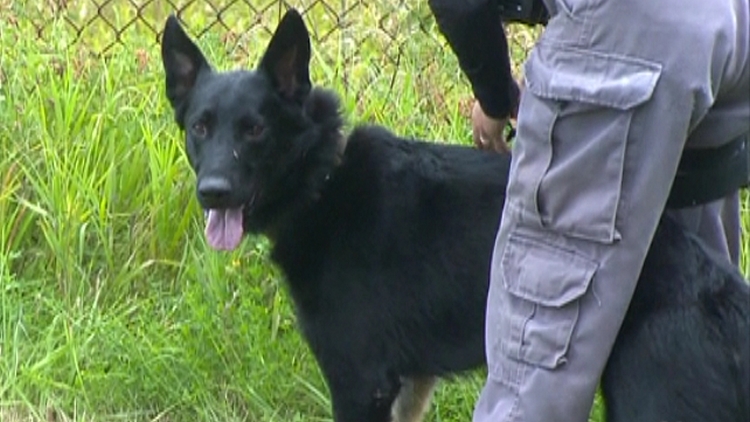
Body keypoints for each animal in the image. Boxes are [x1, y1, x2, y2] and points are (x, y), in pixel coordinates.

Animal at [162, 9, 748, 422]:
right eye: (201, 128)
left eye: (255, 129)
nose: (212, 194)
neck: (324, 179)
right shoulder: (407, 386)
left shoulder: (360, 382)